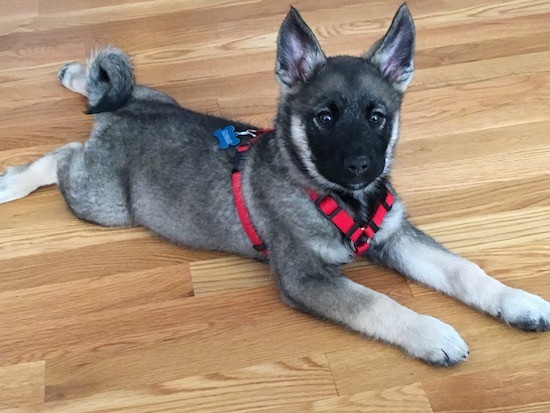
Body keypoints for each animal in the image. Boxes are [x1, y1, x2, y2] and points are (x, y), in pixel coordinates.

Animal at [0, 4, 548, 364]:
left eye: (377, 117)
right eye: (325, 118)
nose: (363, 167)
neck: (339, 198)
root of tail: (119, 117)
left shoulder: (395, 236)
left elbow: (462, 270)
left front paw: (516, 301)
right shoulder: (305, 278)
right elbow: (377, 302)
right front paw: (433, 332)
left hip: (151, 98)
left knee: (104, 86)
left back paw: (76, 73)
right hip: (104, 202)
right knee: (65, 155)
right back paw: (14, 181)